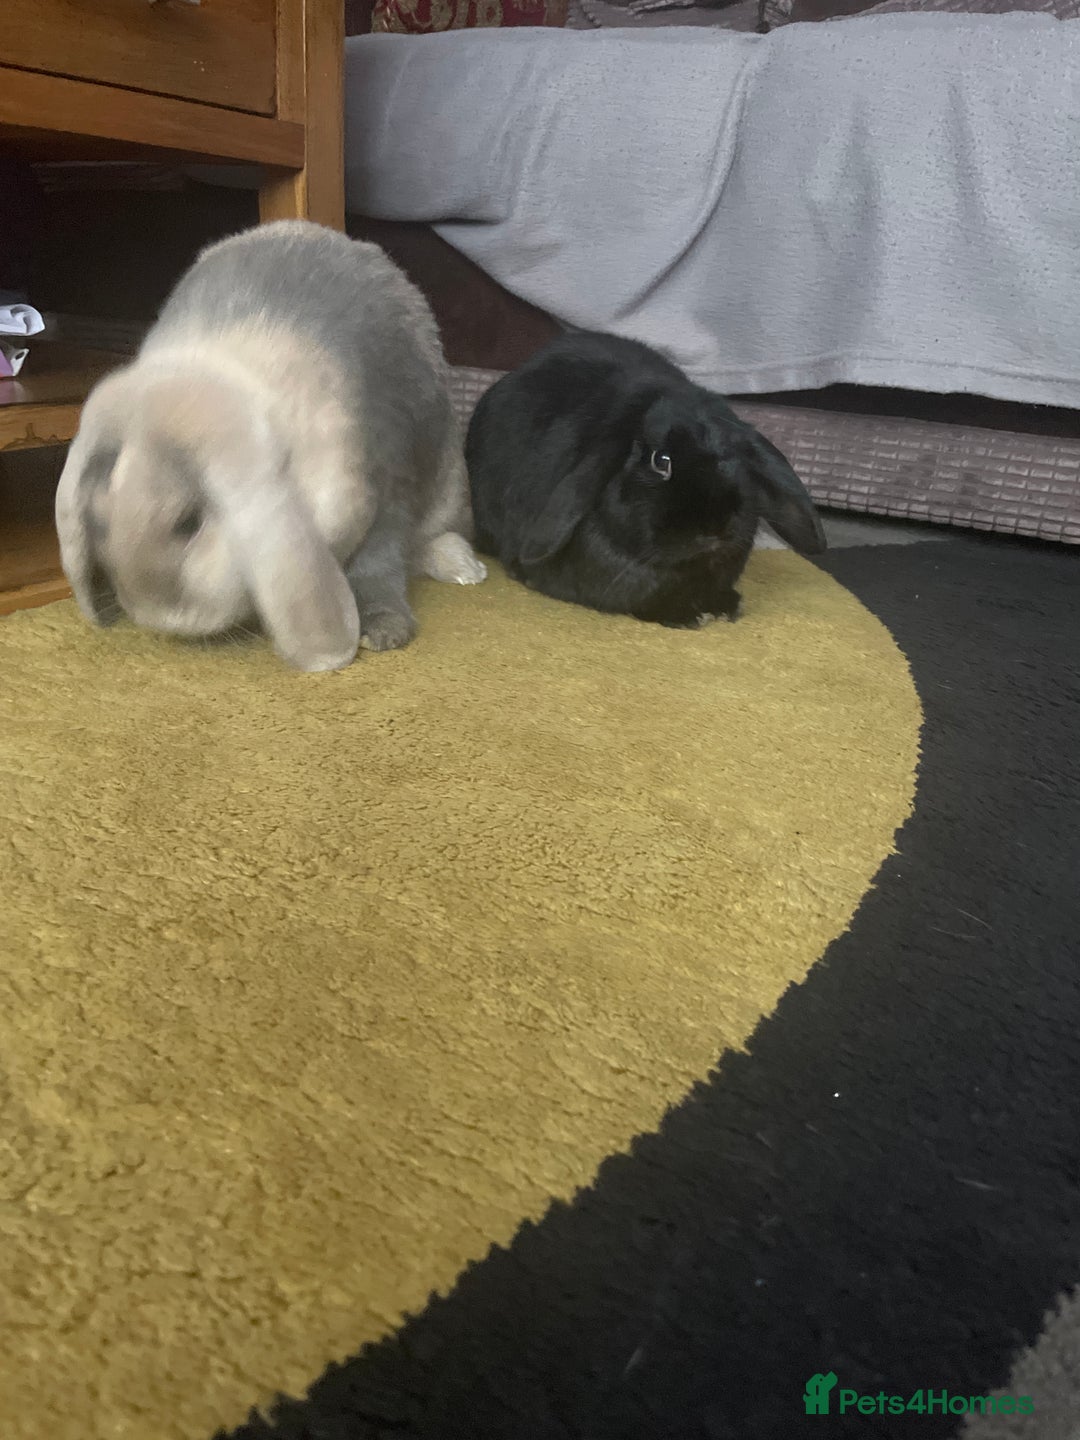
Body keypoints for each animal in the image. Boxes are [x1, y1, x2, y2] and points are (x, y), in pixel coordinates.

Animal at [55, 220, 486, 673]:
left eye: (187, 522)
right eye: (100, 520)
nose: (154, 615)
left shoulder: (388, 477)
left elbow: (377, 563)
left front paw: (383, 631)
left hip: (451, 490)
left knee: (432, 540)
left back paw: (464, 566)